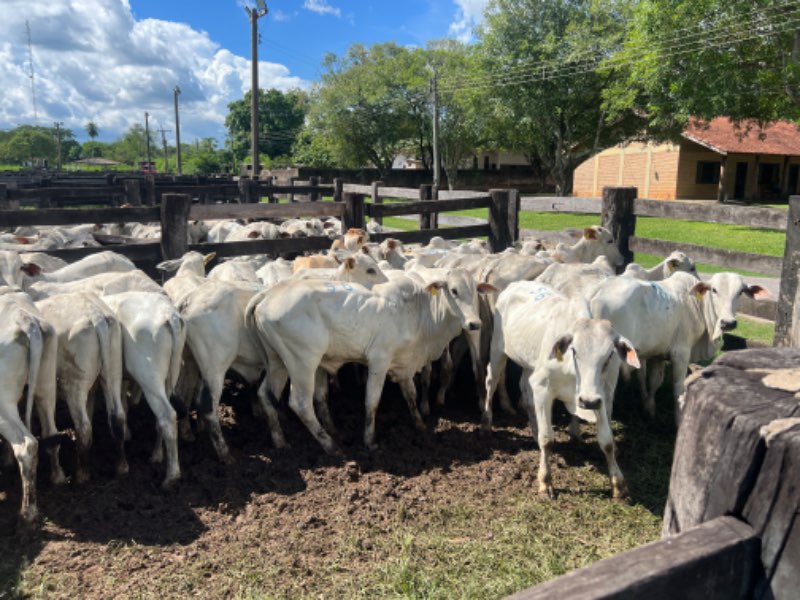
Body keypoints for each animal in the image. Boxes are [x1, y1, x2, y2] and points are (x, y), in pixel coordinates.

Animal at [483, 282, 639, 499]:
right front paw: (545, 483)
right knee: (492, 380)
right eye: (574, 351)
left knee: (525, 390)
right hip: (498, 350)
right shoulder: (543, 388)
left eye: (609, 355)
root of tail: (514, 285)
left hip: (529, 365)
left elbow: (607, 441)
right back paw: (487, 423)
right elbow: (547, 439)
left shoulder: (601, 395)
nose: (588, 402)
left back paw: (533, 430)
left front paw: (618, 486)